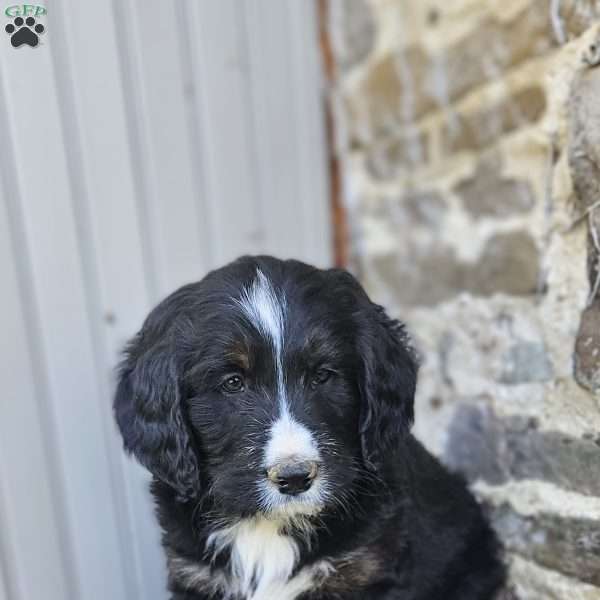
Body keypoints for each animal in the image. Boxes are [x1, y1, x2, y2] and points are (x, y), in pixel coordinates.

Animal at [113, 256, 506, 600]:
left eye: (323, 375)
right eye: (233, 383)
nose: (294, 478)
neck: (269, 526)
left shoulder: (366, 569)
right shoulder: (195, 575)